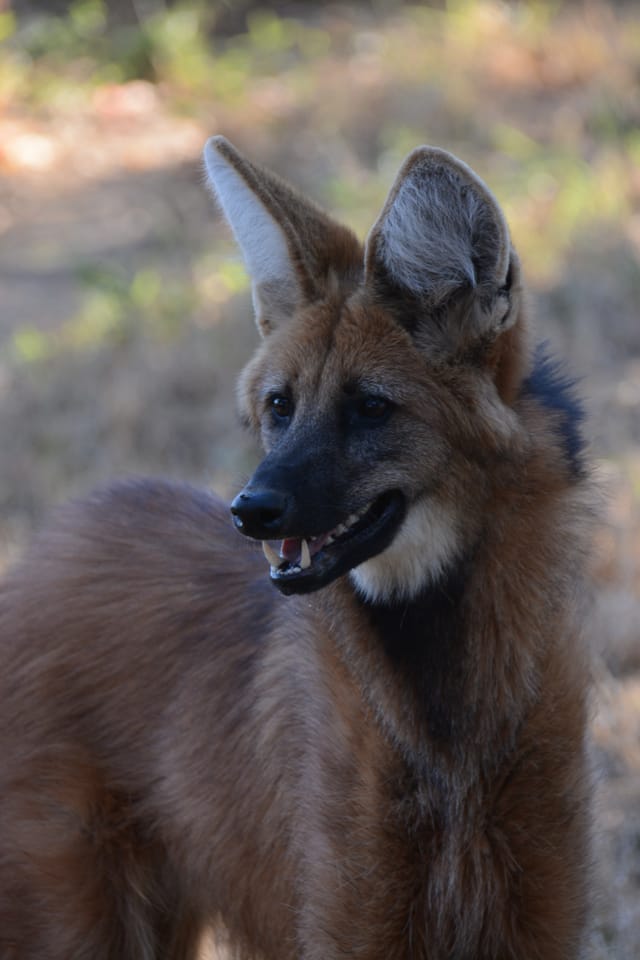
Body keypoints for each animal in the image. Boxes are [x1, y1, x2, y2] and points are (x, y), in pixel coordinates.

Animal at [0, 139, 593, 959]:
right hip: (82, 917)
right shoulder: (350, 919)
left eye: (371, 408)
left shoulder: (529, 913)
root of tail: (50, 538)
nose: (250, 510)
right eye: (280, 405)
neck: (452, 738)